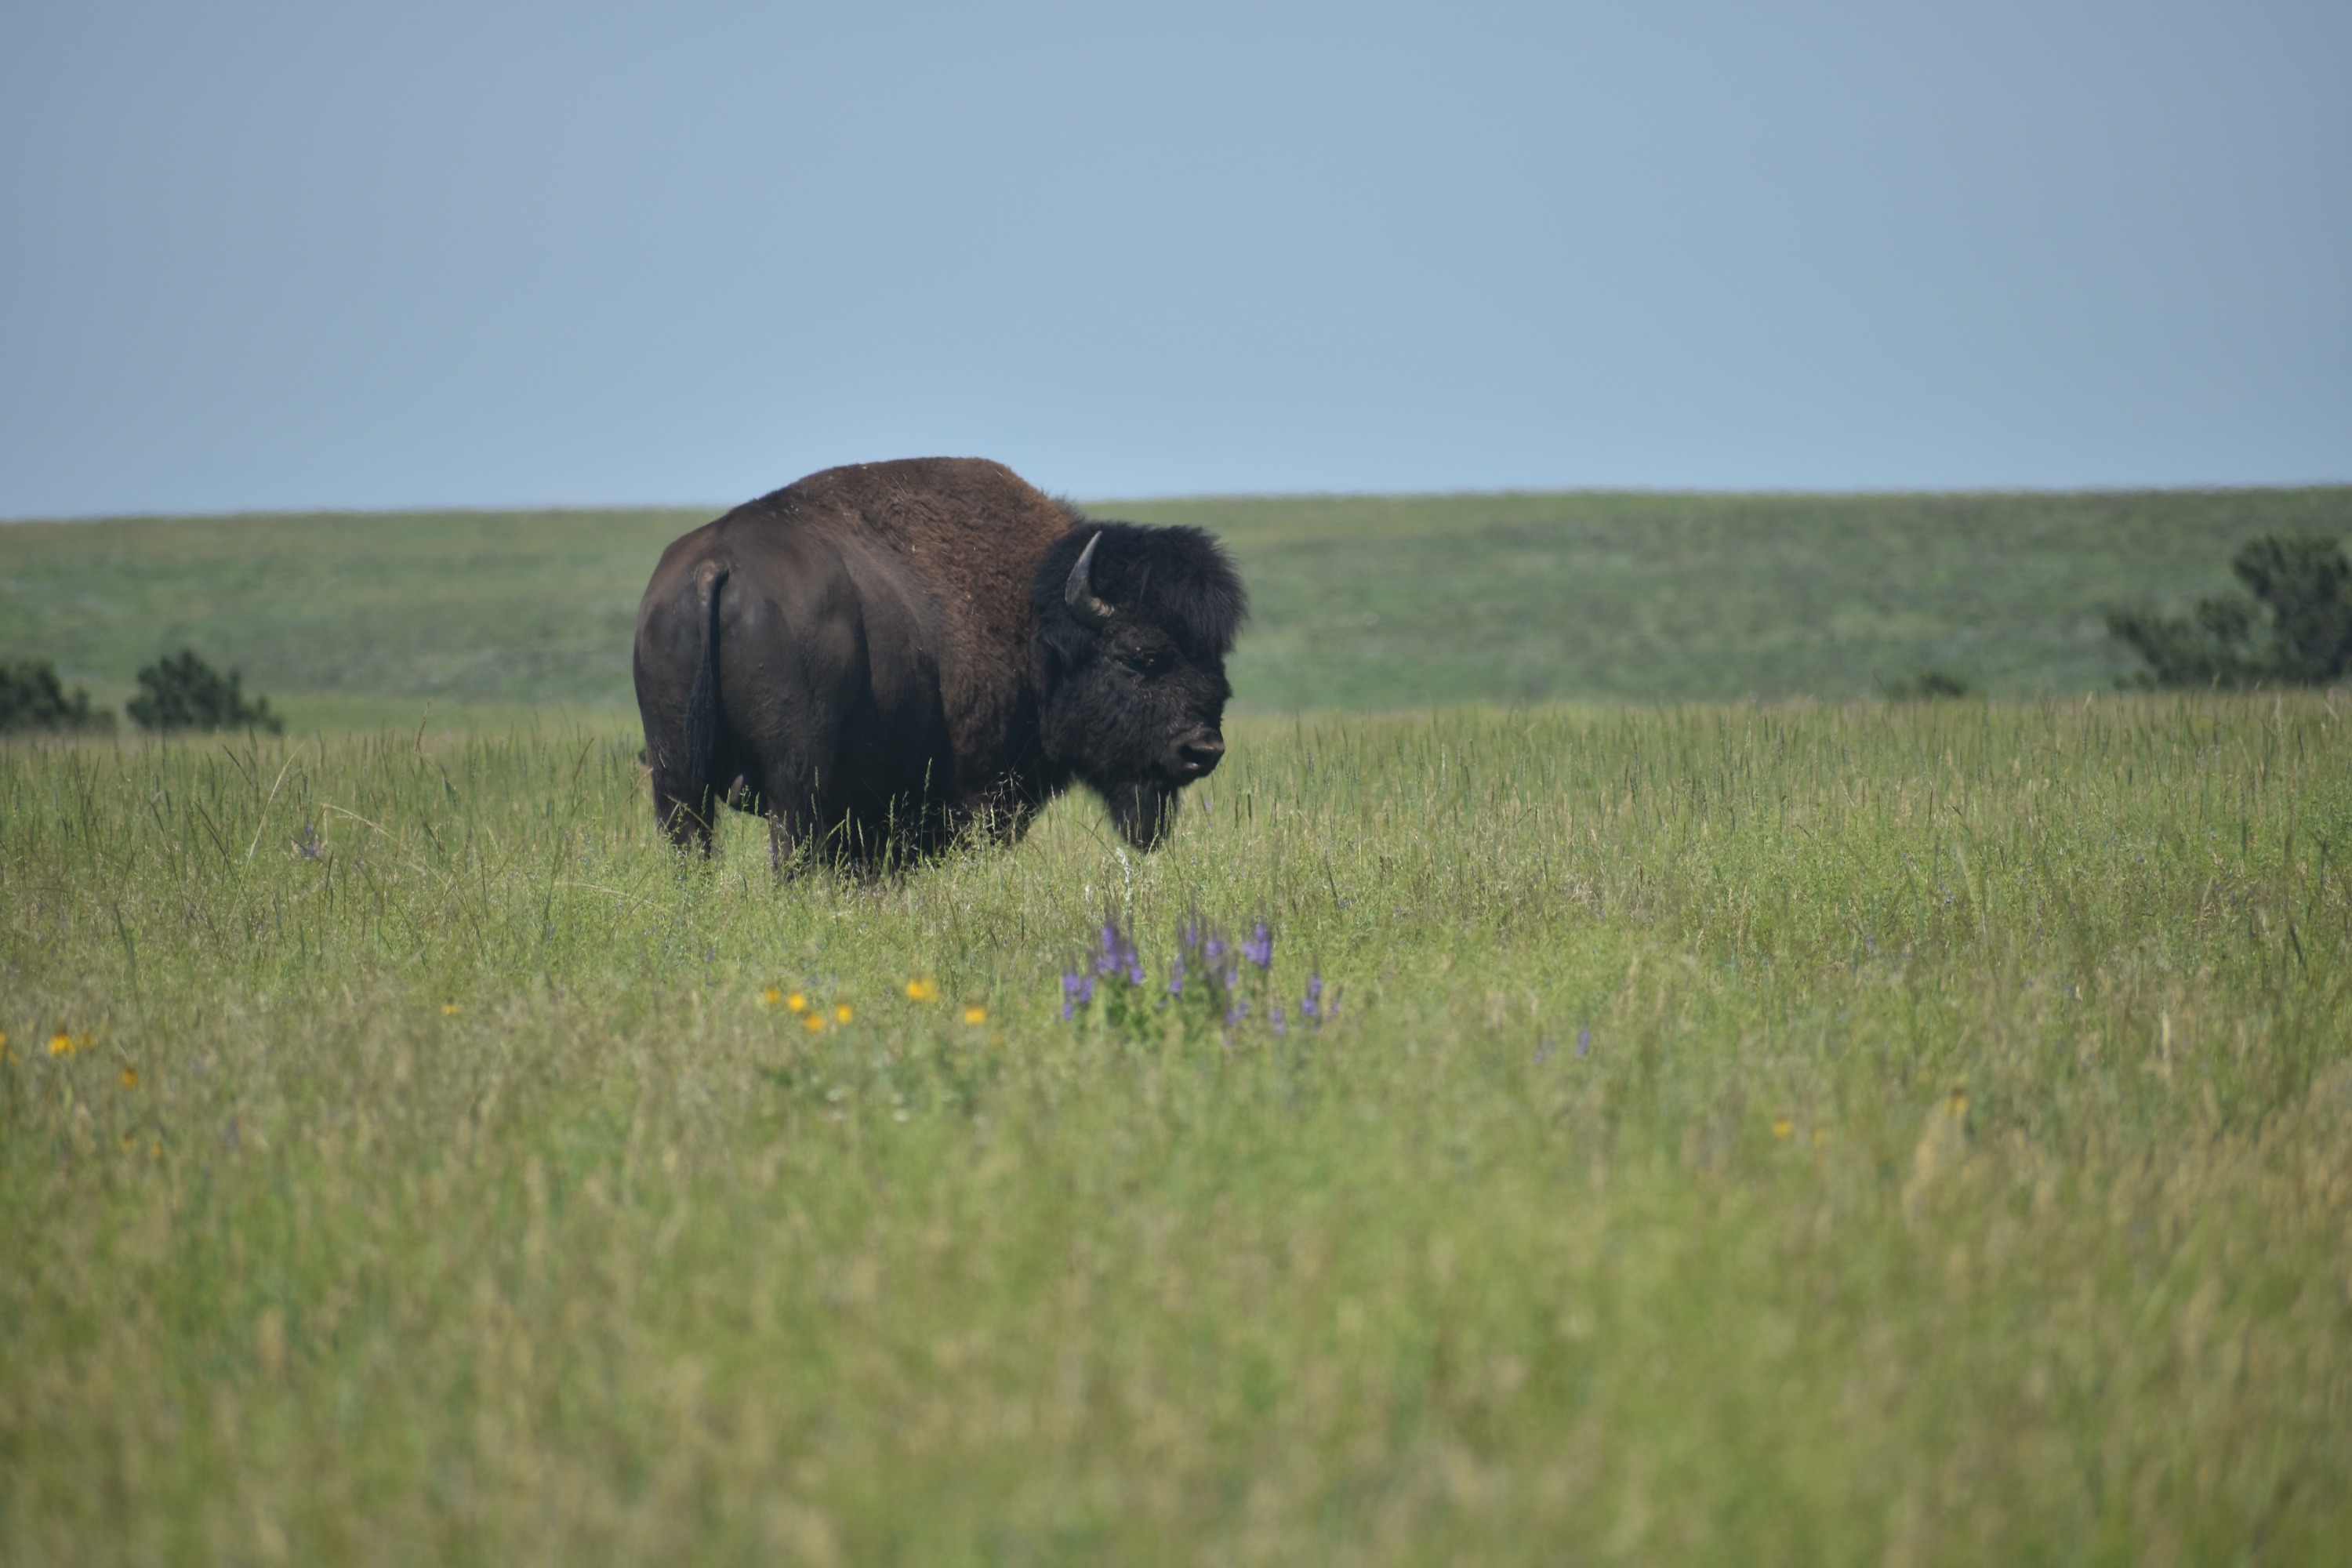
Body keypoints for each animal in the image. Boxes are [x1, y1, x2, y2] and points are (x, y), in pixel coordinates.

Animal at [633, 457, 1246, 867]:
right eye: (1139, 655)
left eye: (1216, 658)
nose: (1204, 750)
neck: (1034, 623)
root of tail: (715, 566)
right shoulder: (979, 797)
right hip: (791, 782)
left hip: (676, 775)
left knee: (691, 848)